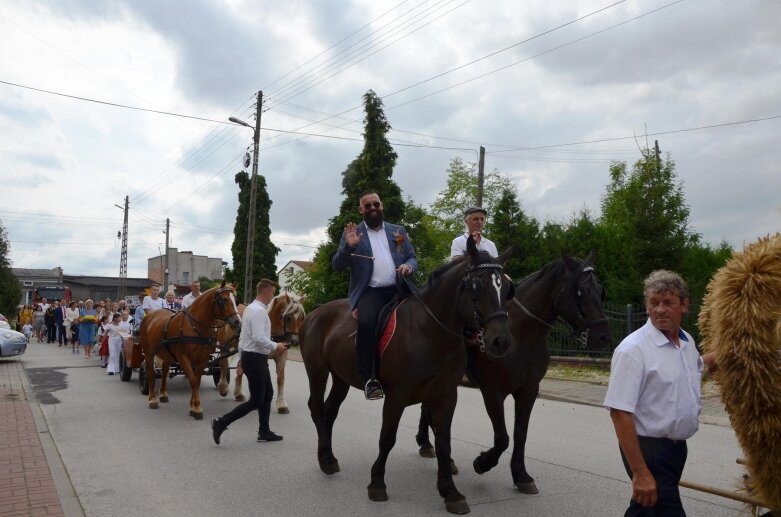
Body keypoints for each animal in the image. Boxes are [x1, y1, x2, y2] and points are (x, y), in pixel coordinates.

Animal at [138, 278, 241, 420]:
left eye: (235, 300)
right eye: (223, 300)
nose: (238, 323)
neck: (194, 327)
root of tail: (151, 315)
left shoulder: (202, 359)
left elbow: (196, 380)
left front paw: (193, 405)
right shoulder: (183, 358)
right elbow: (192, 379)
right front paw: (197, 408)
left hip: (166, 353)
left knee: (164, 370)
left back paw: (163, 394)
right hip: (149, 352)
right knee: (150, 372)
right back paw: (152, 399)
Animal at [302, 238, 516, 512]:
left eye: (506, 288)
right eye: (476, 286)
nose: (501, 341)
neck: (431, 332)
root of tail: (316, 311)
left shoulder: (445, 396)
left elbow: (444, 443)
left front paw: (450, 492)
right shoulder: (397, 396)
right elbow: (387, 438)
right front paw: (377, 483)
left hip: (341, 378)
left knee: (329, 411)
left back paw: (328, 456)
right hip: (317, 371)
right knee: (317, 408)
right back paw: (325, 459)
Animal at [414, 253, 608, 492]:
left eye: (600, 290)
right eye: (580, 291)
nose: (603, 336)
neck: (521, 334)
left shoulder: (528, 391)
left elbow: (520, 433)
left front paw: (521, 475)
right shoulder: (493, 392)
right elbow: (502, 437)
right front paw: (483, 462)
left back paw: (428, 445)